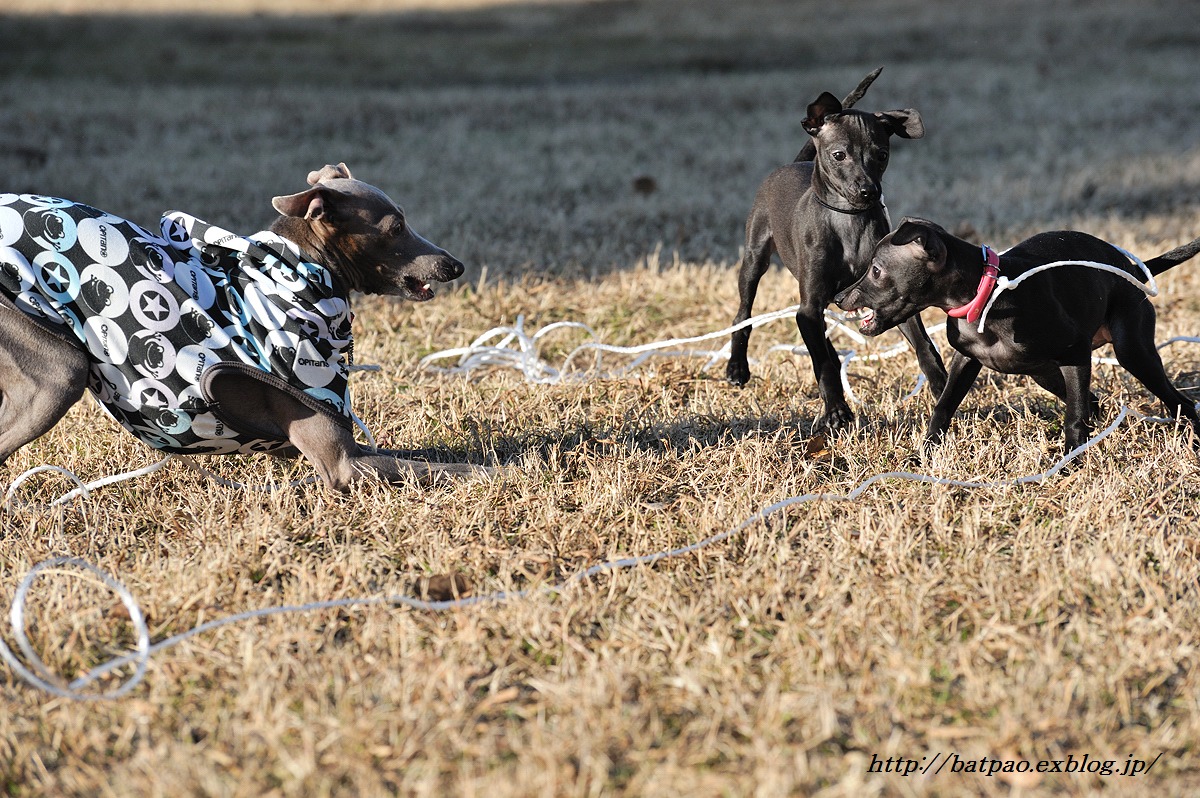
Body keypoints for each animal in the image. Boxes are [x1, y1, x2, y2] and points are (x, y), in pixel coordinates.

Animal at [720, 69, 945, 429]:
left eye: (882, 155)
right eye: (839, 155)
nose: (869, 191)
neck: (847, 222)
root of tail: (792, 163)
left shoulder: (889, 296)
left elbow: (925, 347)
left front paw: (941, 387)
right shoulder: (810, 303)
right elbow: (822, 363)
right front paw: (837, 410)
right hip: (755, 259)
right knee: (744, 313)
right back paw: (737, 366)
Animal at [835, 218, 1200, 451]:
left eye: (876, 271)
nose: (838, 298)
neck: (986, 295)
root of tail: (1132, 268)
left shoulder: (1076, 353)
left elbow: (1074, 418)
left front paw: (1069, 465)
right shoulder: (965, 360)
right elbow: (943, 406)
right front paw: (925, 452)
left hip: (1132, 352)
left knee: (1180, 403)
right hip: (1045, 373)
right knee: (1094, 403)